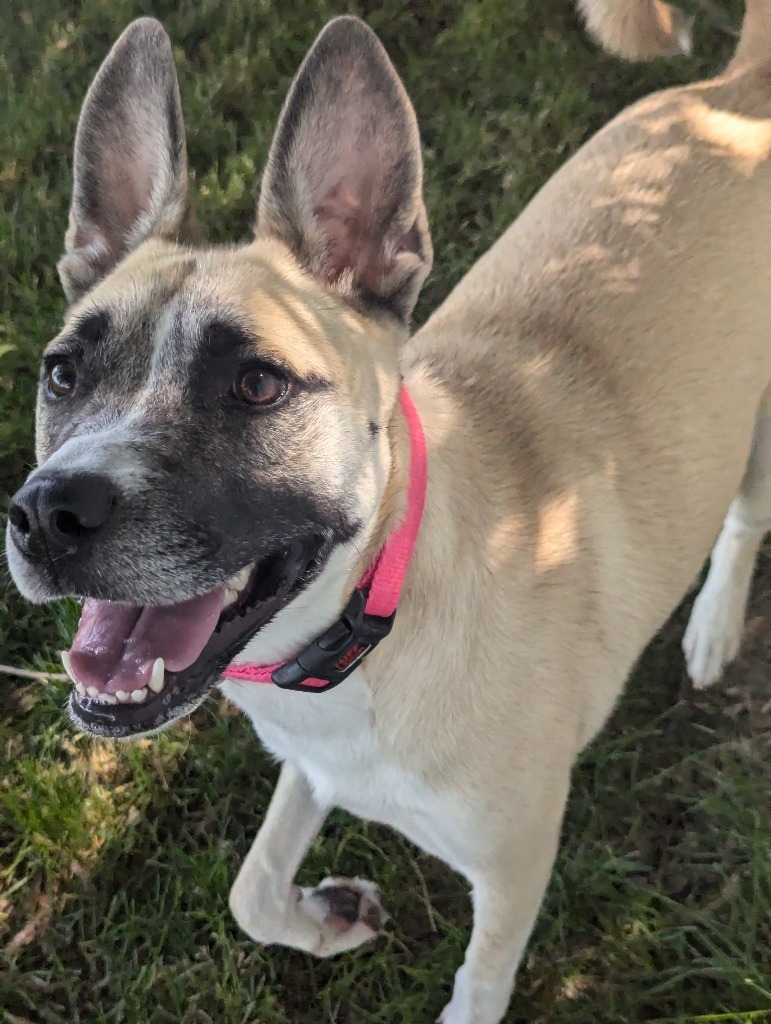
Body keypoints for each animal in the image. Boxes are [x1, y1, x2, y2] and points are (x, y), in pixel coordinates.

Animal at [7, 2, 769, 1024]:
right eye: (62, 374)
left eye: (255, 383)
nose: (45, 513)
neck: (376, 617)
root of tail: (737, 92)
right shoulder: (314, 764)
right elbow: (250, 890)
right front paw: (323, 917)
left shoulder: (516, 861)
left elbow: (477, 985)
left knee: (745, 515)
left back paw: (714, 622)